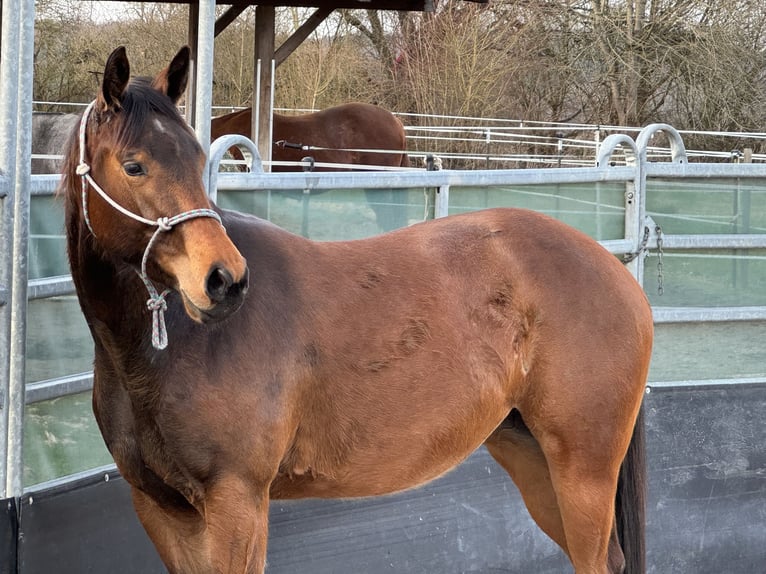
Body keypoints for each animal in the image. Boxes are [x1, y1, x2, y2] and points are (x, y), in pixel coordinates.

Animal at [62, 45, 653, 574]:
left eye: (197, 157)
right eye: (134, 166)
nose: (225, 280)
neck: (171, 354)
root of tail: (616, 270)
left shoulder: (237, 504)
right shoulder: (163, 511)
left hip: (582, 471)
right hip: (531, 456)